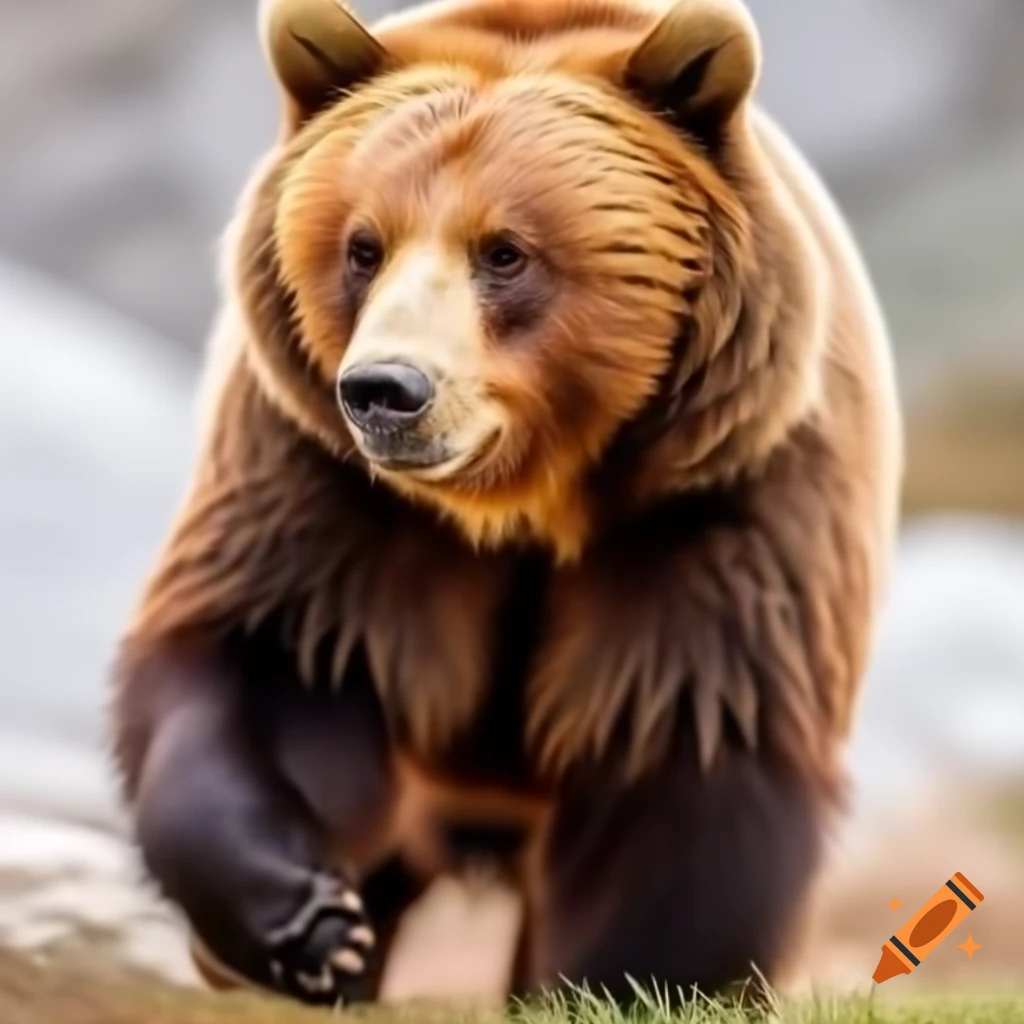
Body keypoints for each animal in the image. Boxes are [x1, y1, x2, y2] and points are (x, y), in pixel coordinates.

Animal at [110, 0, 903, 1009]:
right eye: (362, 247)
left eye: (505, 252)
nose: (385, 390)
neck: (526, 501)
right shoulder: (319, 481)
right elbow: (280, 663)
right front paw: (308, 921)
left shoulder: (720, 506)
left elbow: (683, 748)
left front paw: (626, 982)